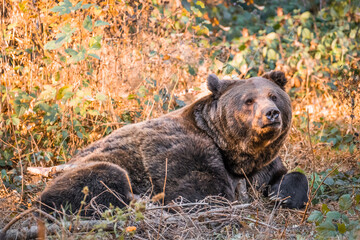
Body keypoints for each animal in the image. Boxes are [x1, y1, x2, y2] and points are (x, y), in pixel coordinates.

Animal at [39, 71, 310, 216]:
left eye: (273, 95)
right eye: (249, 100)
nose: (271, 114)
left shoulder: (262, 165)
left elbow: (290, 176)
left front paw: (283, 196)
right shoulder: (185, 150)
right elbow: (198, 191)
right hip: (85, 170)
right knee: (101, 179)